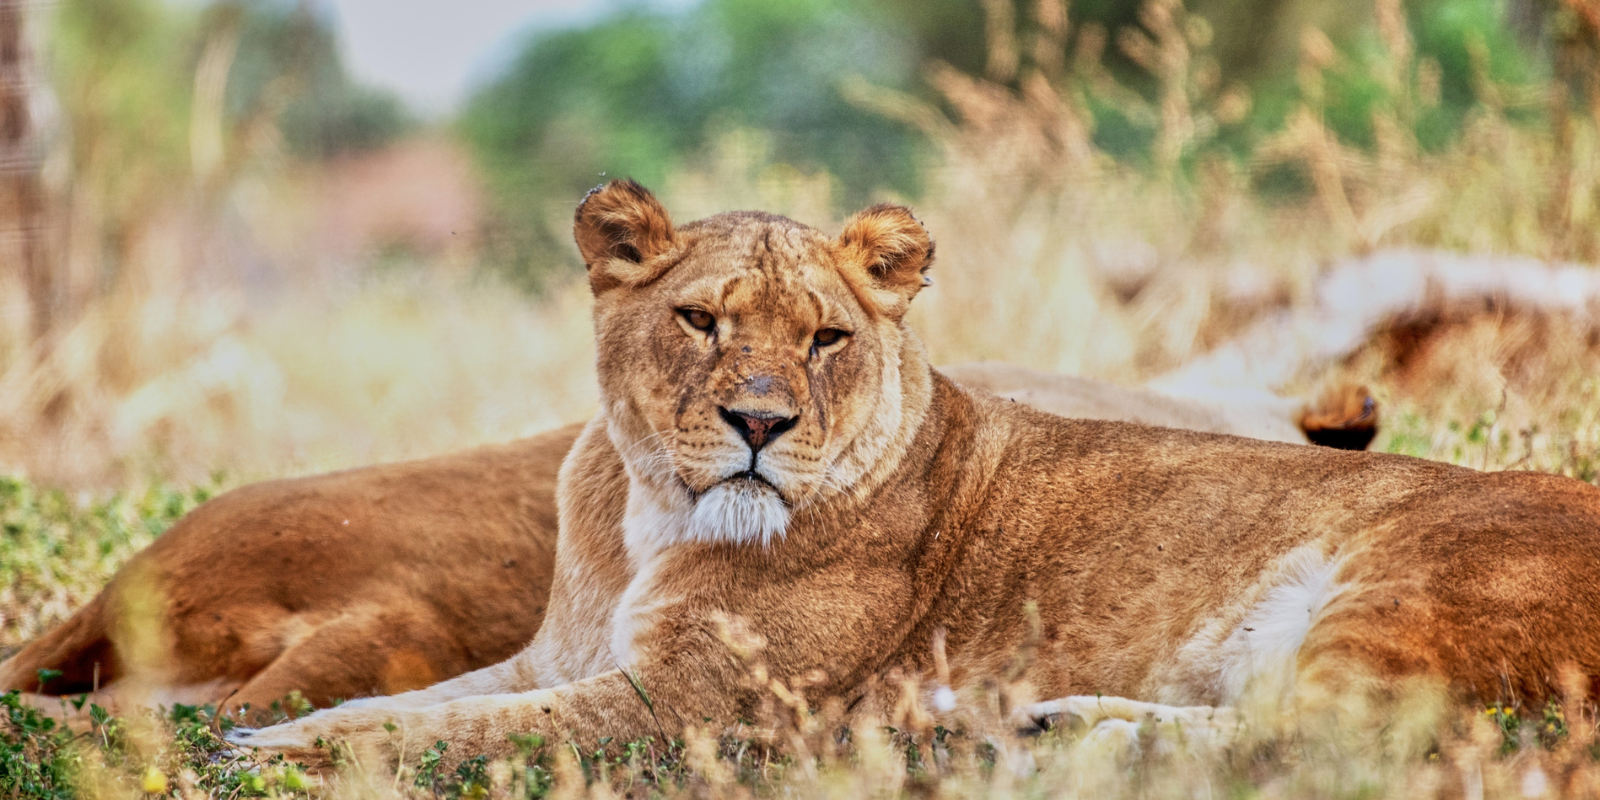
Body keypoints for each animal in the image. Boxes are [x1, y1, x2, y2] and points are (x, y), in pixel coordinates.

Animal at [224, 181, 1600, 769]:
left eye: (826, 336)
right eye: (699, 322)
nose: (758, 422)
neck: (646, 513)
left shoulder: (700, 704)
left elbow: (454, 726)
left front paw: (283, 751)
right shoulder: (549, 652)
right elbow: (416, 696)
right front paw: (265, 726)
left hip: (1402, 583)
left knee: (1333, 733)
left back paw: (1054, 728)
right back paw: (1041, 720)